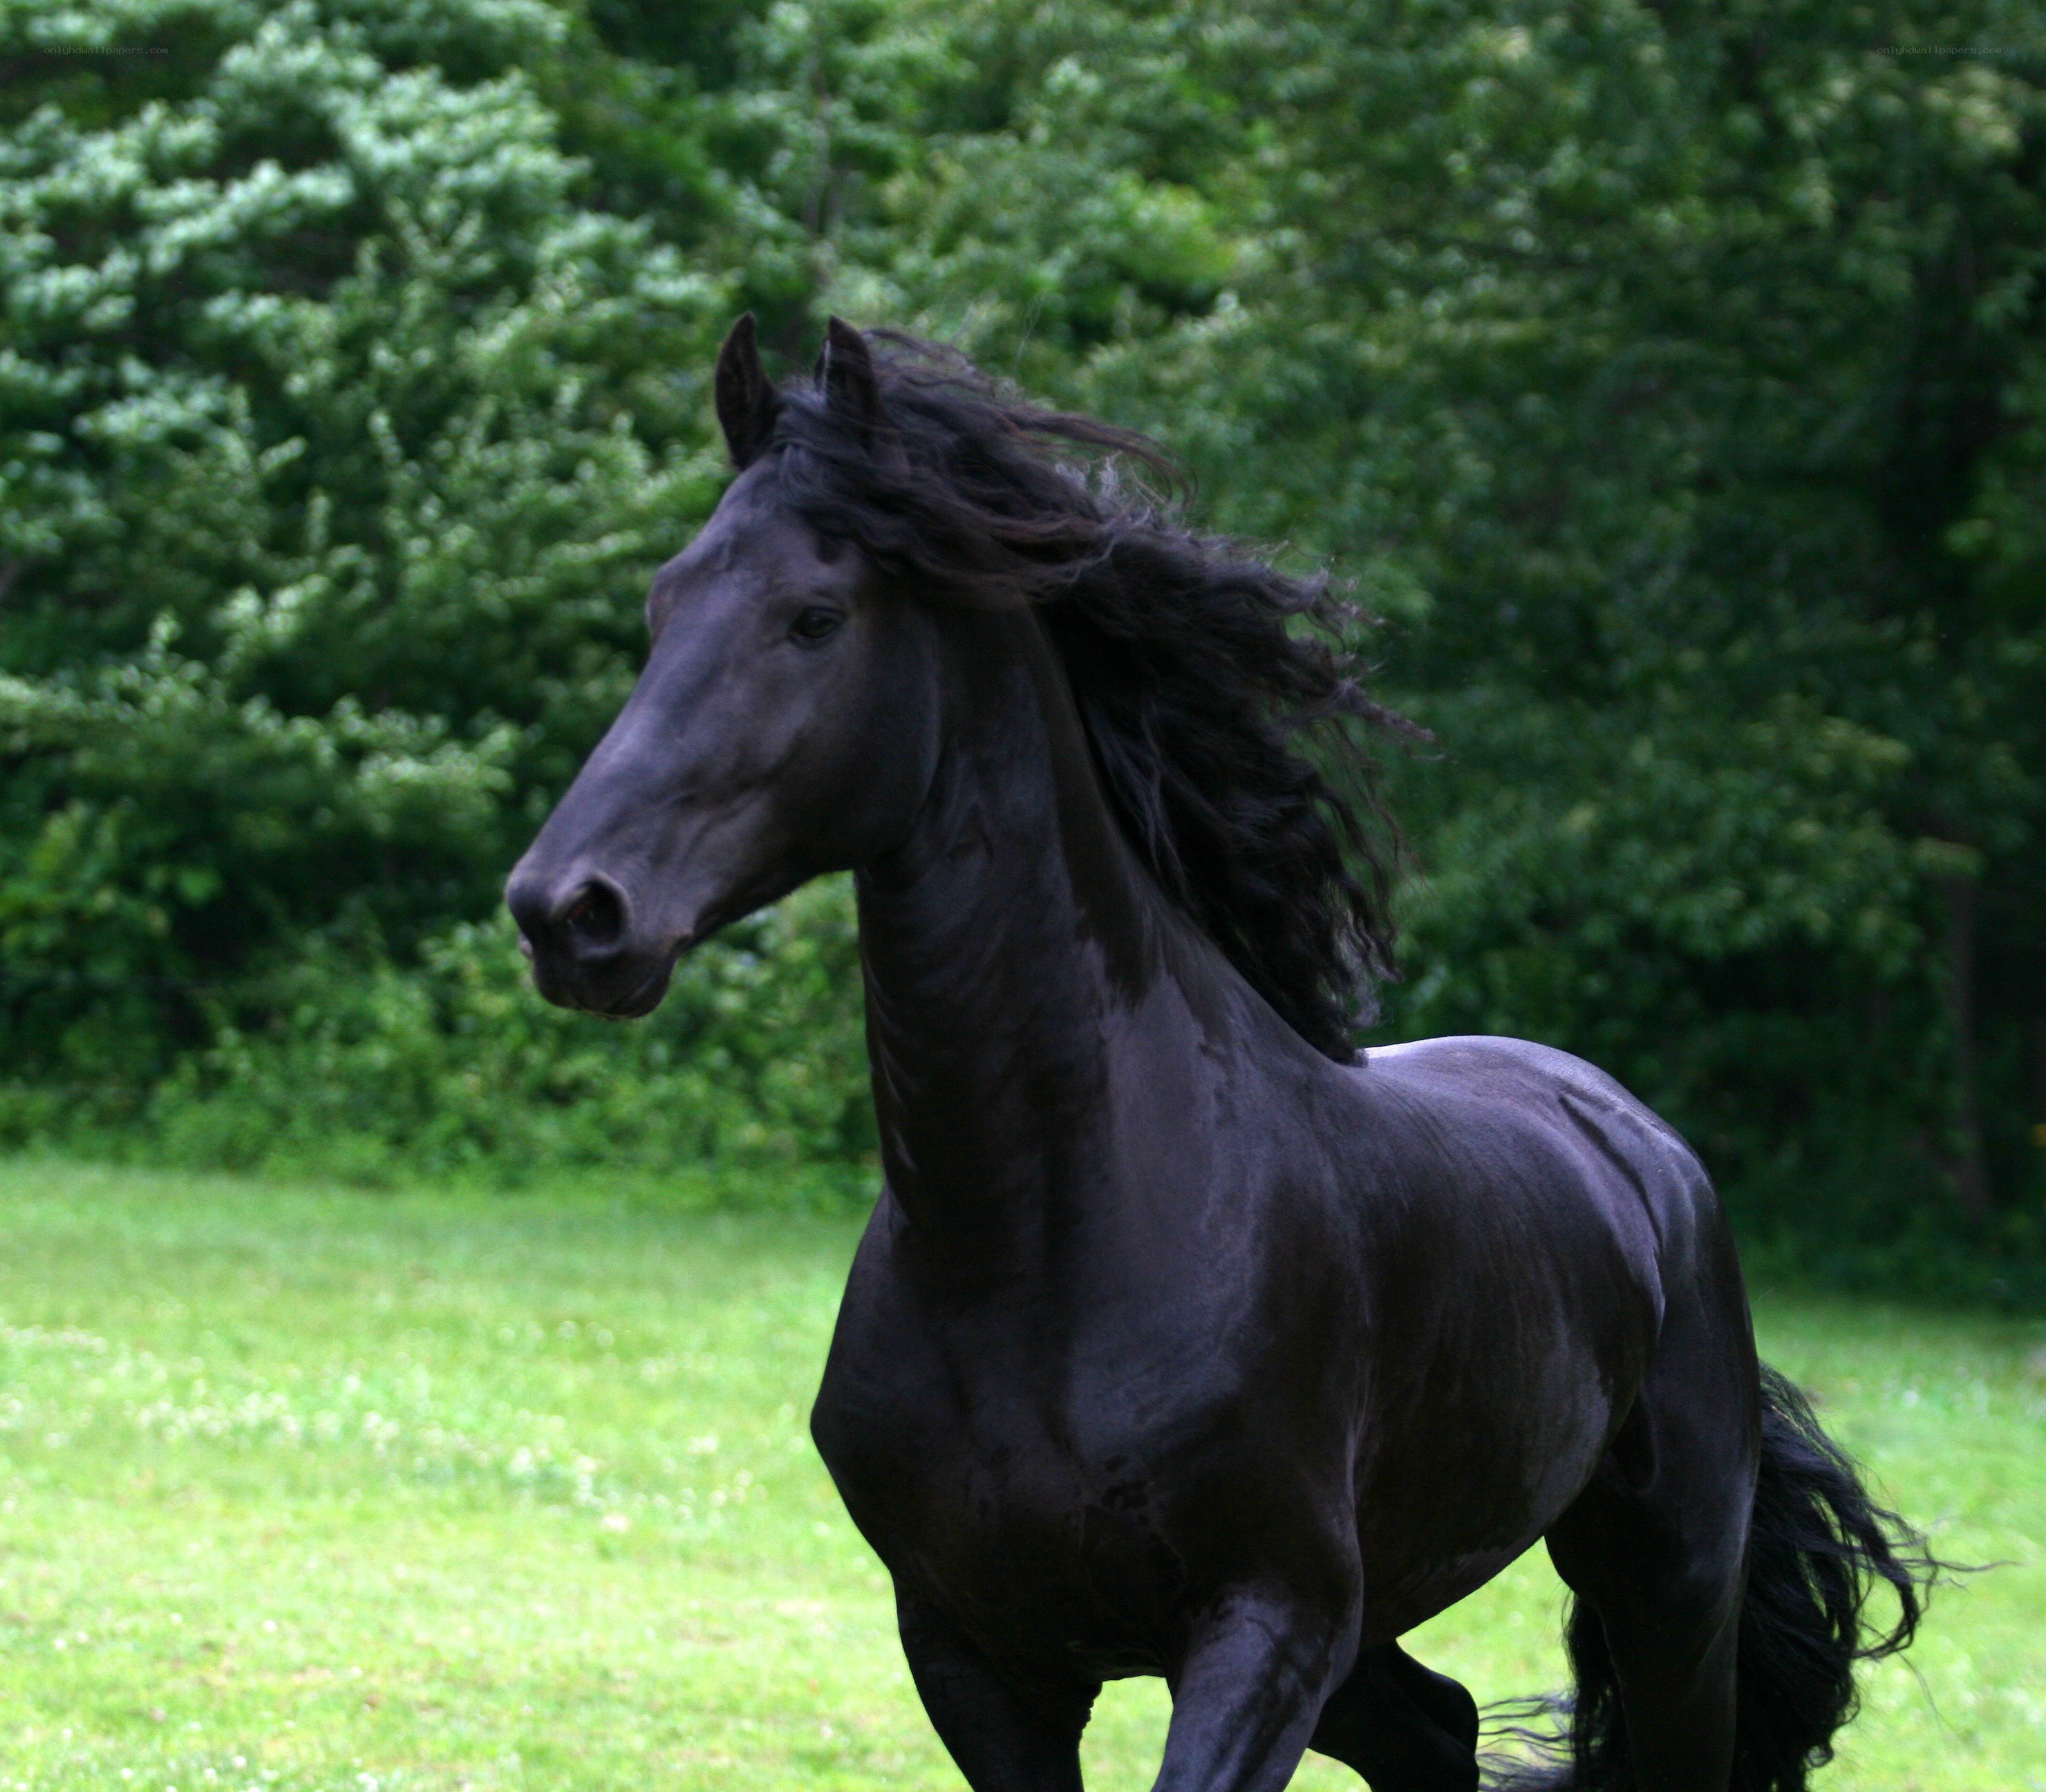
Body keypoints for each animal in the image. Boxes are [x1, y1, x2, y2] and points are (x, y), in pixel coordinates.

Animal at [506, 316, 1932, 1792]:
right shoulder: (977, 1659)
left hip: (1663, 1586)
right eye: (666, 603)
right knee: (1439, 1729)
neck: (1046, 1245)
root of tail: (1641, 1147)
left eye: (813, 616)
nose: (571, 911)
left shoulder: (1267, 1627)